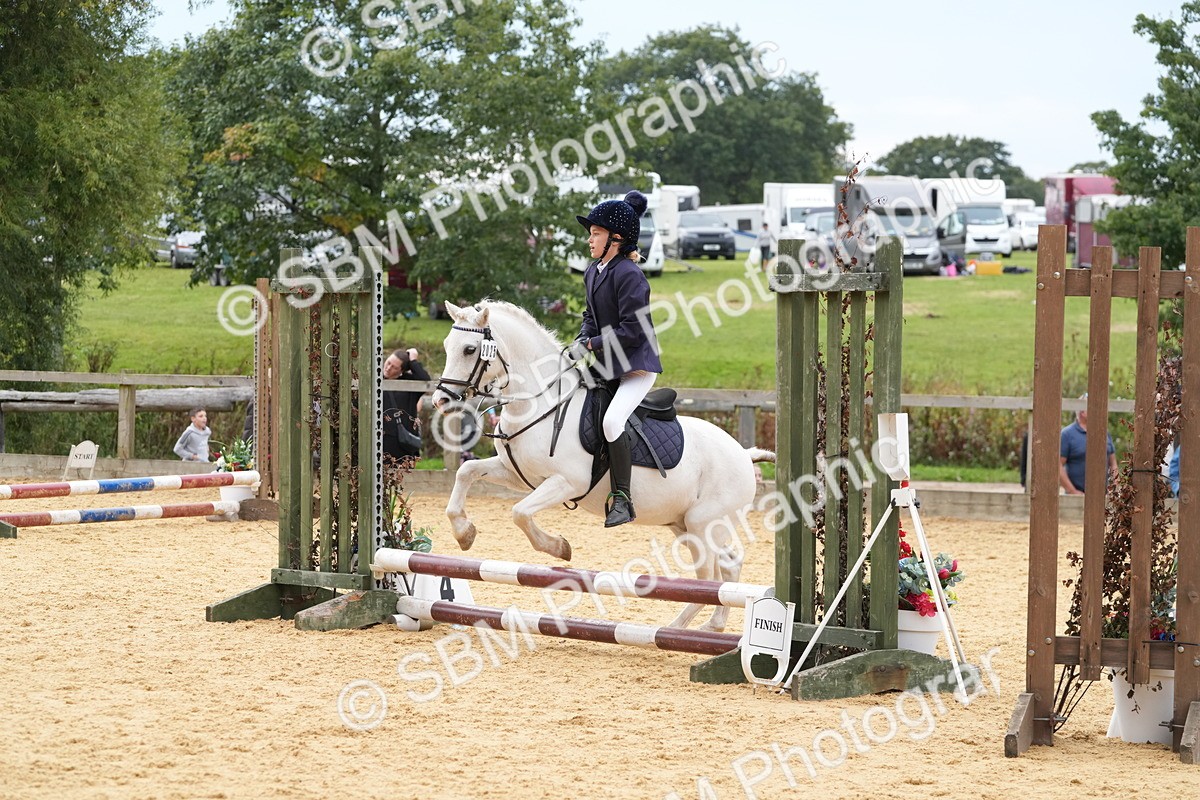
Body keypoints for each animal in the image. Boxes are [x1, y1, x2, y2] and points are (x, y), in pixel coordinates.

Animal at [431, 300, 775, 632]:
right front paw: (464, 533)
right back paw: (712, 625)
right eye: (447, 345)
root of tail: (743, 454)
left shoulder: (567, 482)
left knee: (708, 578)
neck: (540, 404)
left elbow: (520, 513)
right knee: (728, 564)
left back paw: (676, 629)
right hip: (687, 525)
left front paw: (559, 547)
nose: (441, 401)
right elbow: (466, 472)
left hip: (703, 523)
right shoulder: (517, 474)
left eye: (470, 349)